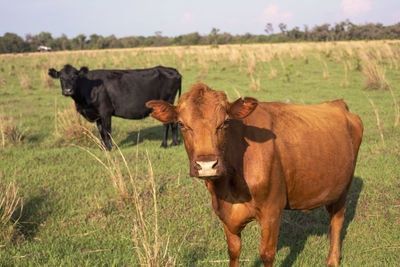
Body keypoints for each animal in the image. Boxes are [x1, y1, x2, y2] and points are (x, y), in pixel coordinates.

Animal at [47, 63, 183, 150]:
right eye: (61, 77)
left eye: (74, 77)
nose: (67, 90)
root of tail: (173, 70)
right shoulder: (97, 115)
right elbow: (101, 132)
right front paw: (104, 148)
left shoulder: (105, 111)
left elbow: (107, 131)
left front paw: (110, 147)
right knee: (173, 122)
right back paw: (174, 143)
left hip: (166, 101)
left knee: (166, 123)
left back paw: (164, 145)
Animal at [146, 82, 362, 266]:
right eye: (181, 124)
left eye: (225, 122)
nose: (207, 165)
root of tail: (338, 104)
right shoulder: (225, 214)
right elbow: (233, 252)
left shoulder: (272, 211)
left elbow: (266, 254)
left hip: (343, 188)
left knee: (337, 221)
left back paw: (332, 260)